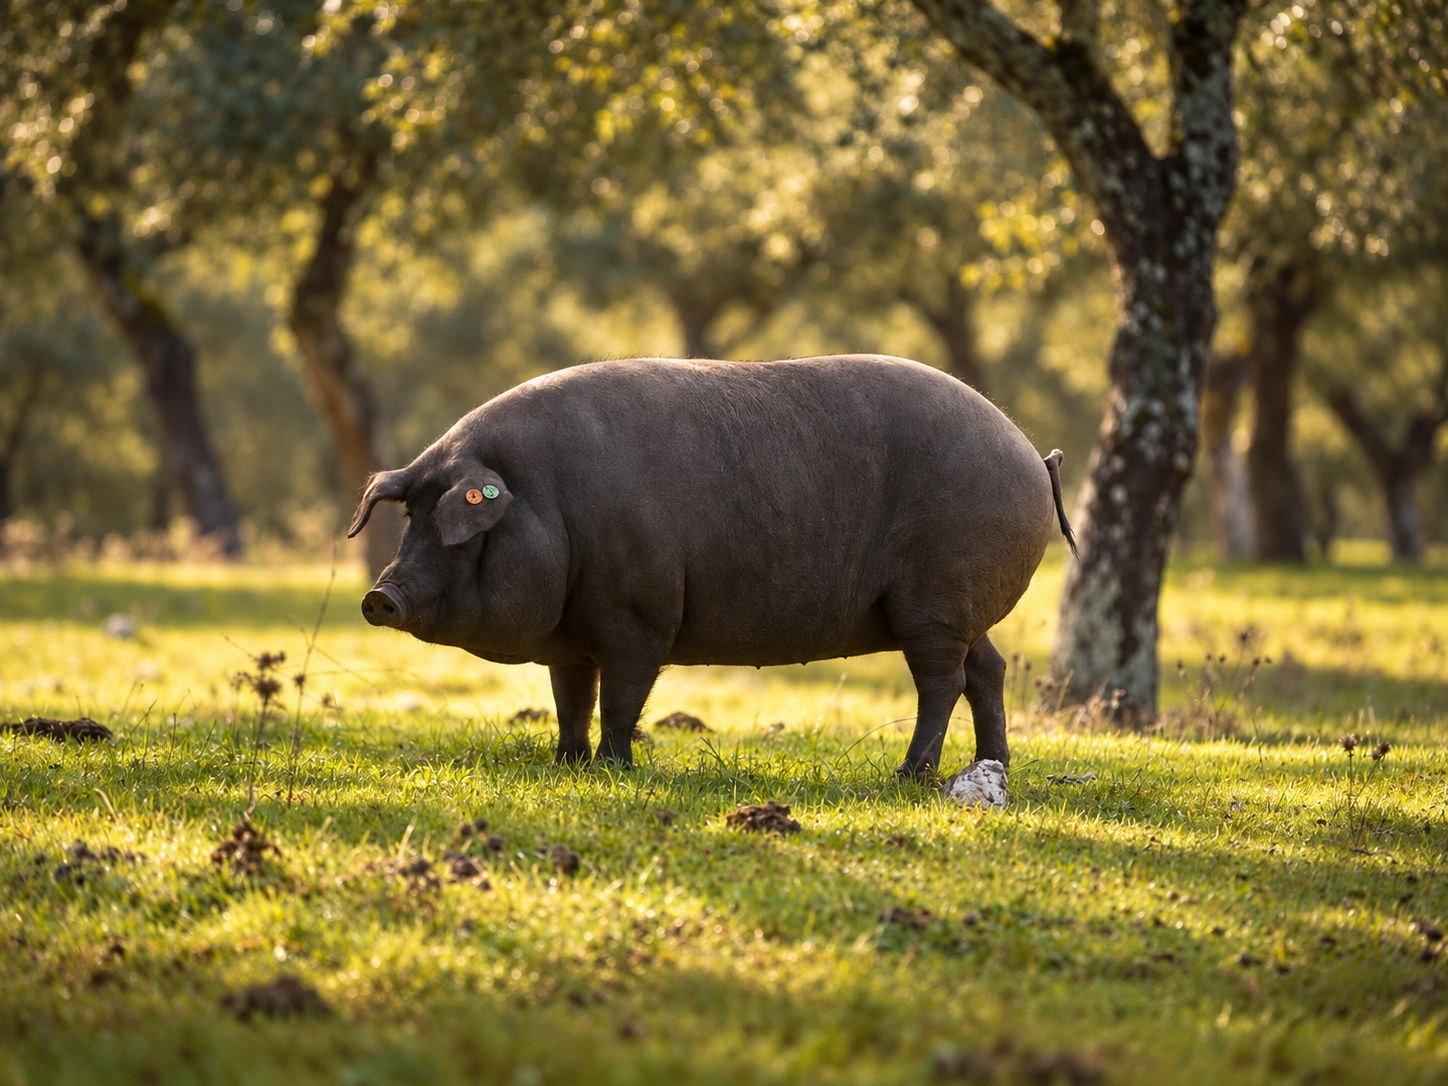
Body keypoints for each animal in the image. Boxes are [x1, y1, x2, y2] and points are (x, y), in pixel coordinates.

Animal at [349, 354, 1076, 778]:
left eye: (454, 525)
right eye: (411, 515)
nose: (381, 597)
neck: (551, 500)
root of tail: (1032, 454)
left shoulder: (639, 615)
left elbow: (622, 696)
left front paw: (613, 769)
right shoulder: (572, 635)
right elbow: (571, 697)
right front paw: (566, 765)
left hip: (937, 598)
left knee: (943, 680)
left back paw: (908, 776)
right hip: (963, 609)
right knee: (989, 670)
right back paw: (990, 766)